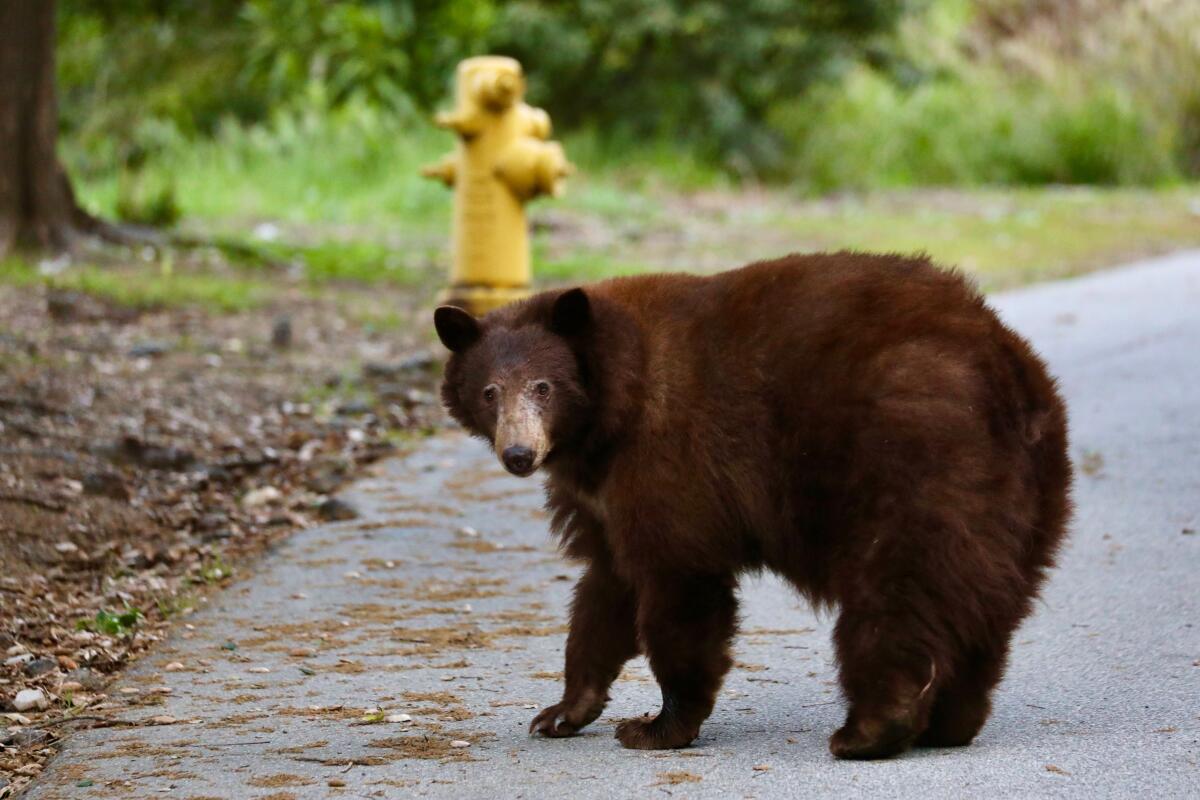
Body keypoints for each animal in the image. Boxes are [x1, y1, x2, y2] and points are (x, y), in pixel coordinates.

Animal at [436, 253, 1075, 762]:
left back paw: (870, 730)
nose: (519, 454)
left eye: (543, 387)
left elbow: (678, 582)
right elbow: (606, 586)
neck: (611, 406)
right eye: (489, 391)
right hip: (1026, 500)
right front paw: (562, 711)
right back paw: (950, 722)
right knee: (986, 606)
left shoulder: (668, 454)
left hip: (915, 459)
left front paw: (657, 726)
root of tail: (1009, 372)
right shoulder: (600, 495)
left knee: (897, 593)